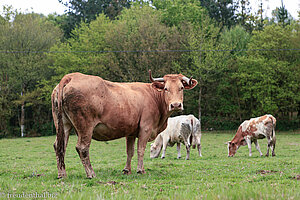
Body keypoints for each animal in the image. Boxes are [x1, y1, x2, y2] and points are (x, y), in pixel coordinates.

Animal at [51, 70, 197, 178]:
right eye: (166, 88)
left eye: (181, 87)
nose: (176, 105)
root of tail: (71, 76)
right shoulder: (145, 128)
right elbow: (140, 149)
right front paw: (140, 170)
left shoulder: (131, 131)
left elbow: (129, 152)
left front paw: (127, 170)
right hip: (85, 126)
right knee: (82, 148)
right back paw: (91, 174)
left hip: (63, 125)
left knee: (59, 146)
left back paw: (62, 174)